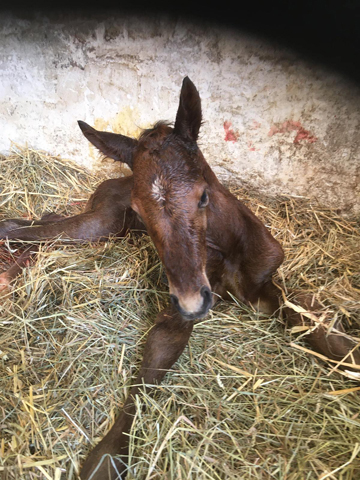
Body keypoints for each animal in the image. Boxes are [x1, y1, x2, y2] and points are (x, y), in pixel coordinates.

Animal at [1, 77, 358, 478]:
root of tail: (109, 183)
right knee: (26, 230)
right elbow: (149, 371)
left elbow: (327, 334)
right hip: (101, 226)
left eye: (203, 196)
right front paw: (107, 459)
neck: (223, 254)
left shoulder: (268, 285)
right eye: (140, 209)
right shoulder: (177, 311)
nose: (192, 301)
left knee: (36, 224)